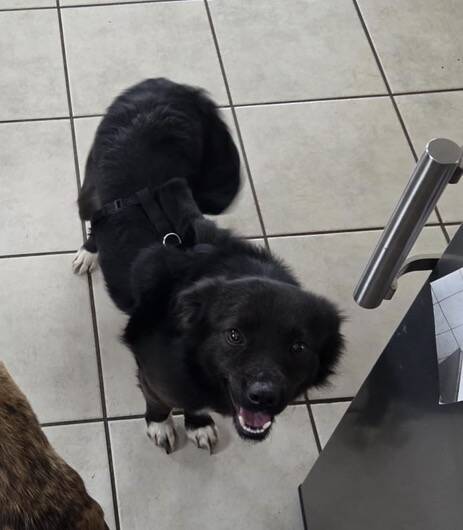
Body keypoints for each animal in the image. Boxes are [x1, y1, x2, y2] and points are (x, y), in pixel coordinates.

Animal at [74, 78, 343, 453]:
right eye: (234, 335)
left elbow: (195, 405)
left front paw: (197, 424)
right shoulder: (153, 372)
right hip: (92, 190)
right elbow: (162, 400)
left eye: (298, 347)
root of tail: (165, 84)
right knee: (92, 217)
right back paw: (89, 251)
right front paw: (161, 424)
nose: (264, 397)